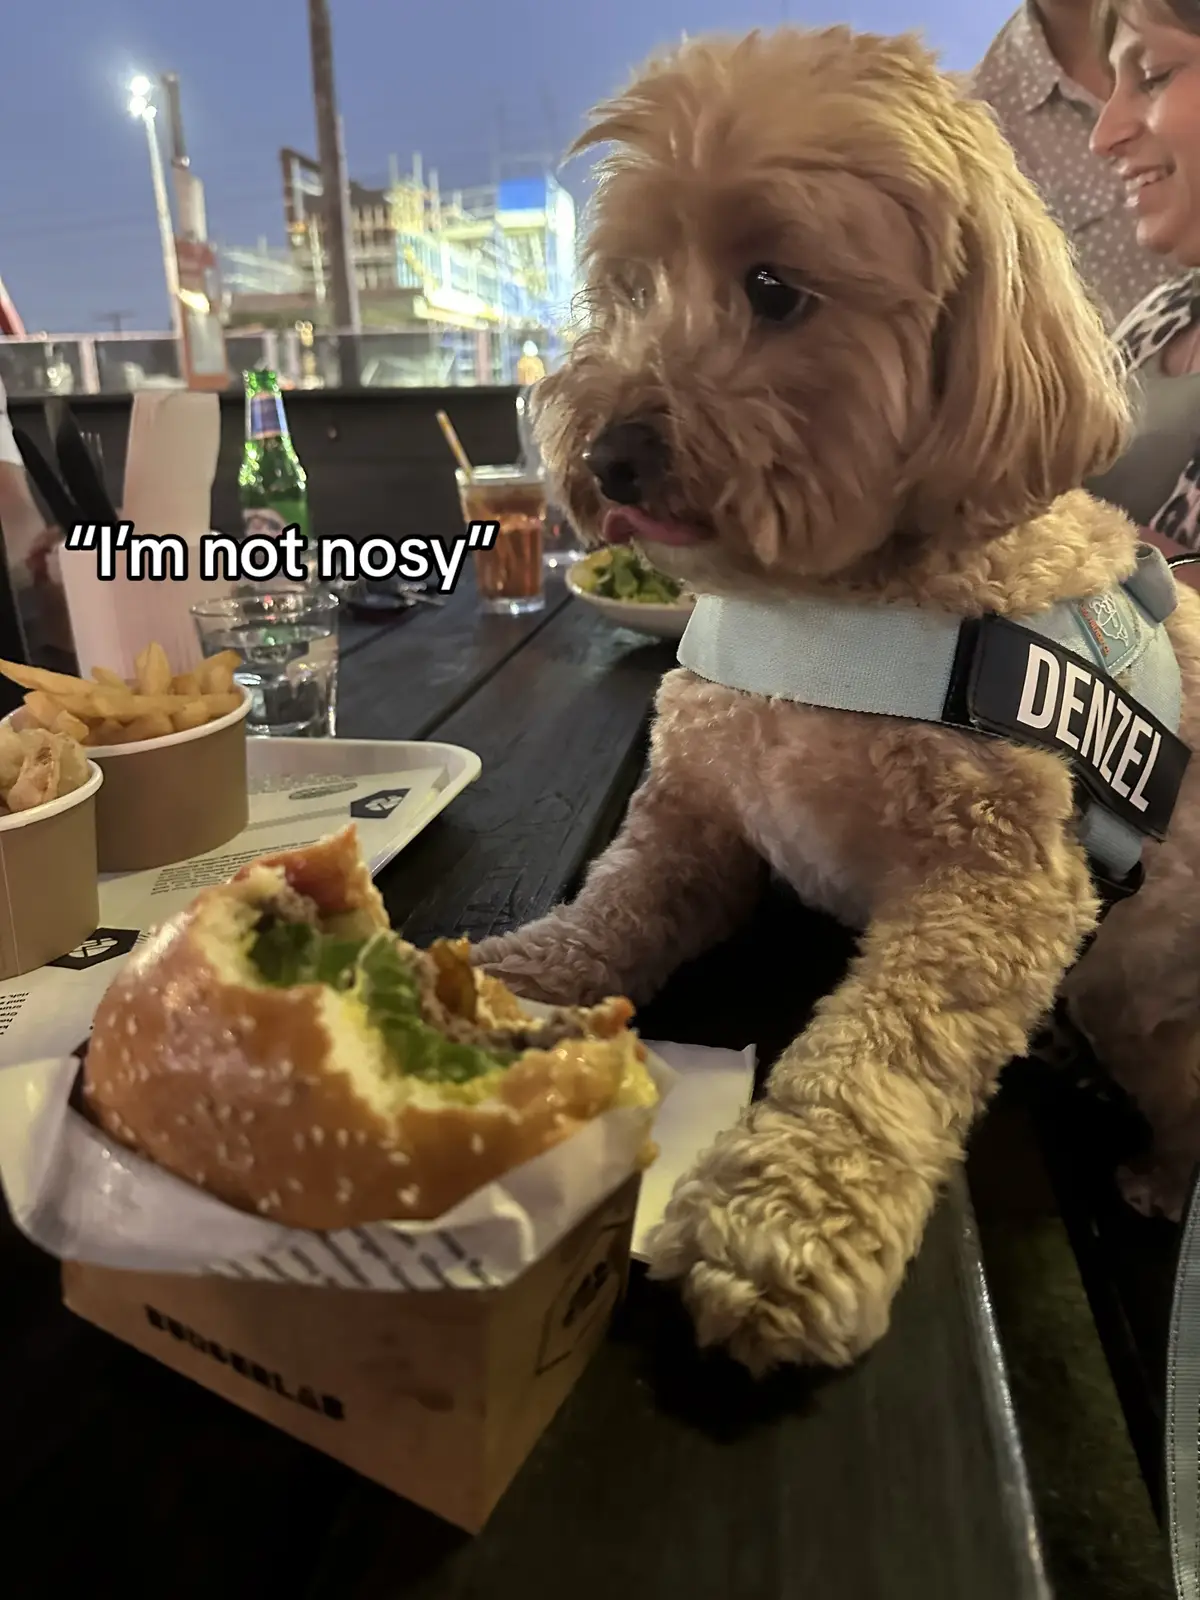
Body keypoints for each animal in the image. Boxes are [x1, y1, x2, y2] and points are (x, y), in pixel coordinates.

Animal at [473, 25, 1200, 1376]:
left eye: (774, 289)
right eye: (633, 284)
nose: (608, 456)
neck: (827, 612)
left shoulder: (993, 895)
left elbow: (876, 1060)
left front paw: (783, 1215)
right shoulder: (694, 821)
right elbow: (609, 912)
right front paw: (515, 980)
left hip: (1154, 1007)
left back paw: (1158, 1177)